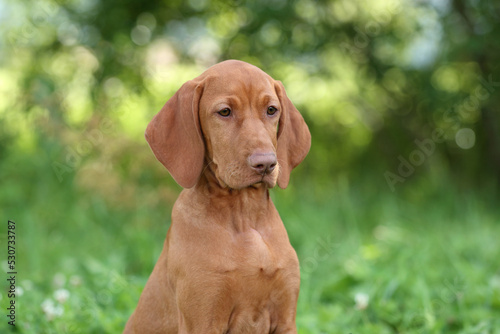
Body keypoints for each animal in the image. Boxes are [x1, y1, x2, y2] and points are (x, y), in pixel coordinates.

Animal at [123, 58, 310, 332]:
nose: (266, 164)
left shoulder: (286, 319)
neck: (245, 216)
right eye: (224, 112)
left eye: (271, 110)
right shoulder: (202, 321)